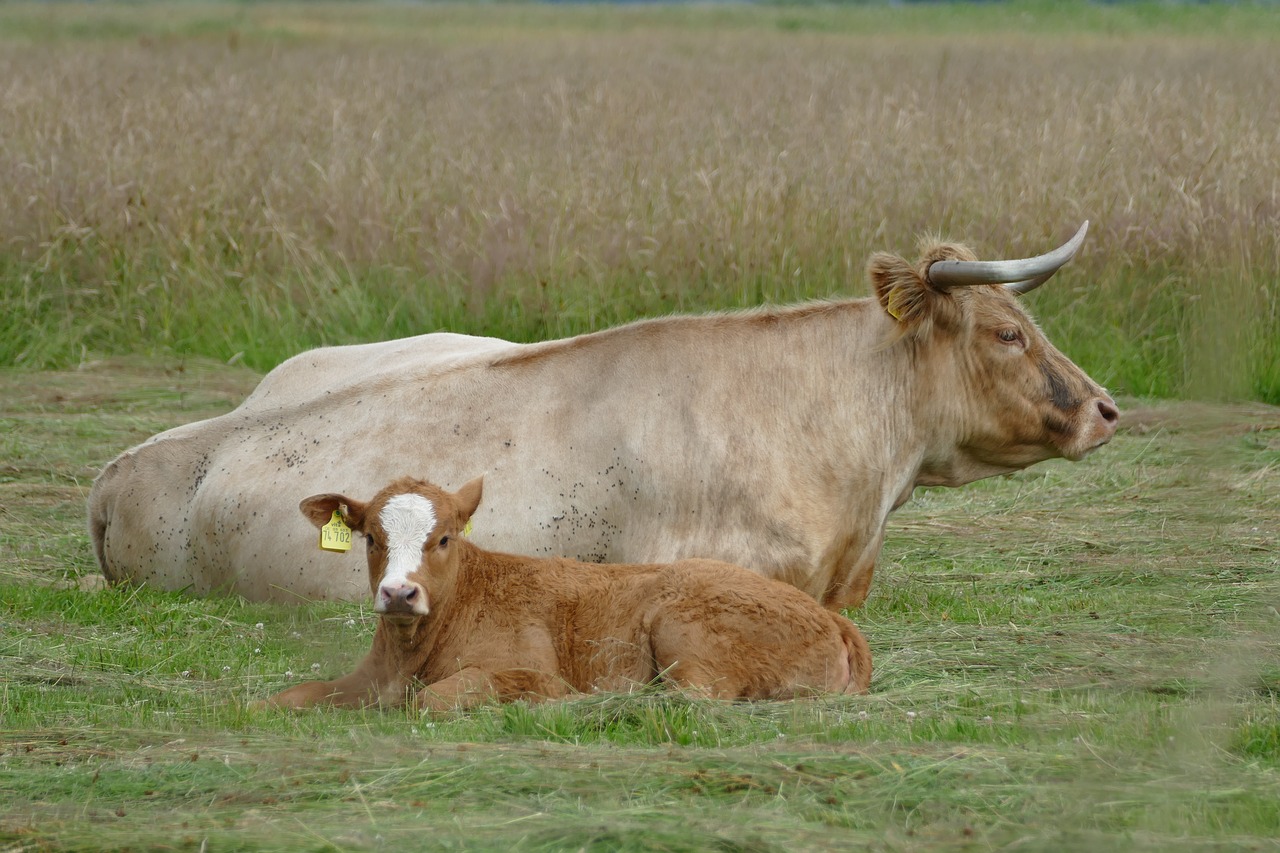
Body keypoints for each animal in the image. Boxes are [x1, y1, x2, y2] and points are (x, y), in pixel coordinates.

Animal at [264, 473, 875, 706]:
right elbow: (289, 696)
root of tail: (831, 617)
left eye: (443, 538)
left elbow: (434, 699)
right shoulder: (367, 679)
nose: (398, 594)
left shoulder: (528, 671)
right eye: (370, 537)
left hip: (684, 626)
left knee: (694, 697)